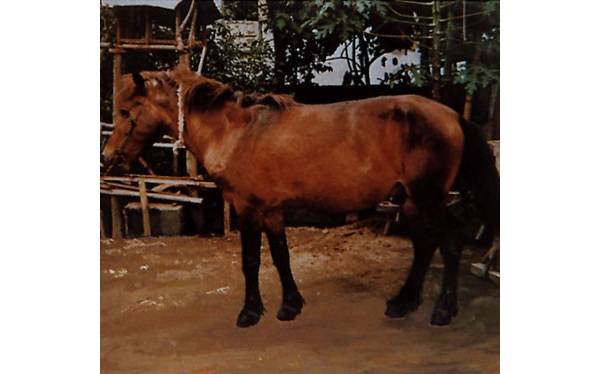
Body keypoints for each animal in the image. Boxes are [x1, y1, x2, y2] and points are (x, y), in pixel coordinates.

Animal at [104, 67, 502, 328]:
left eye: (126, 111)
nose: (108, 158)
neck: (235, 131)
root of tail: (452, 115)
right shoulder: (272, 211)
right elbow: (281, 257)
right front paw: (290, 306)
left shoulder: (248, 210)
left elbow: (251, 261)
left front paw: (250, 312)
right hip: (412, 201)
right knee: (425, 246)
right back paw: (404, 304)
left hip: (428, 197)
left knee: (448, 243)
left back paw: (442, 311)